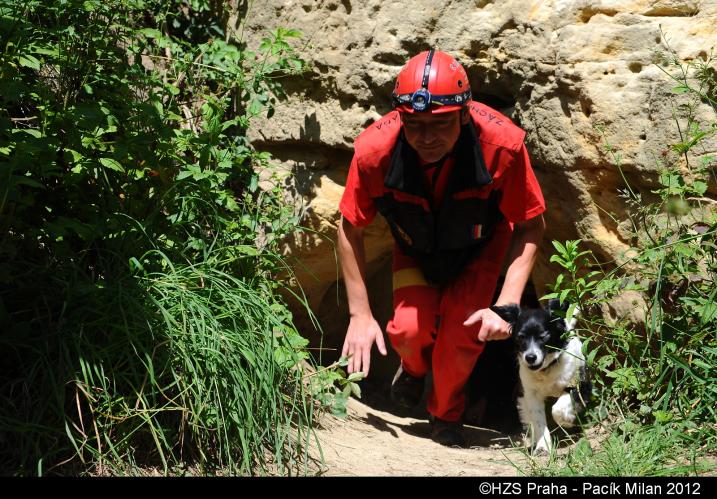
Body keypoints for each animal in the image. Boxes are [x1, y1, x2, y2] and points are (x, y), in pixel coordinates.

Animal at [490, 298, 592, 456]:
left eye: (543, 336)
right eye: (521, 337)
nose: (530, 358)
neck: (546, 369)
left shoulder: (580, 385)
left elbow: (558, 409)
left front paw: (567, 420)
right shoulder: (530, 394)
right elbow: (538, 421)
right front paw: (543, 447)